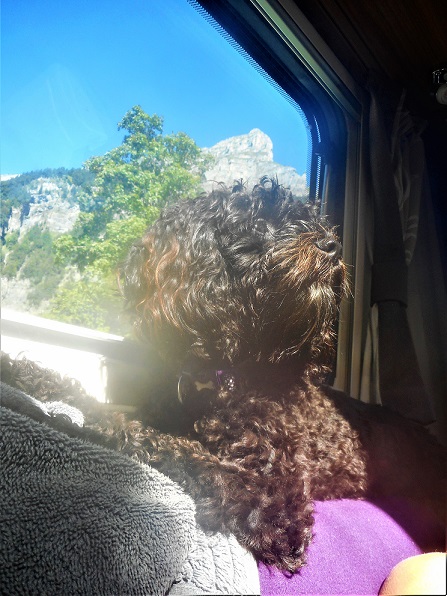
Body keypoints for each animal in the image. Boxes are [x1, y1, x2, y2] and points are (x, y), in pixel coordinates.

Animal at [2, 178, 445, 572]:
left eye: (310, 223)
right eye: (259, 223)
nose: (333, 246)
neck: (224, 374)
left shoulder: (275, 501)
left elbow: (166, 443)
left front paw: (70, 419)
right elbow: (125, 413)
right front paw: (27, 375)